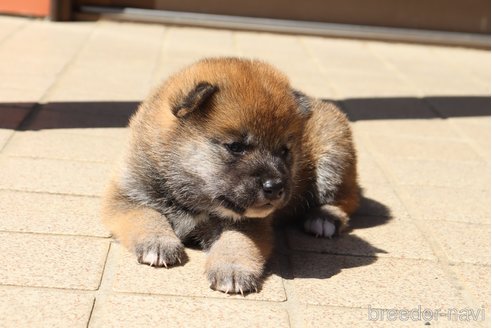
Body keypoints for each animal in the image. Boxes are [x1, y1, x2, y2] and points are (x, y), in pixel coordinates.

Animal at [102, 57, 360, 294]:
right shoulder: (125, 196)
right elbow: (147, 215)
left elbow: (237, 241)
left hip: (332, 155)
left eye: (284, 151)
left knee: (345, 199)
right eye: (236, 147)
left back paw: (324, 218)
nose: (275, 187)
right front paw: (158, 241)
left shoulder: (250, 222)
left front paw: (233, 268)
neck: (192, 200)